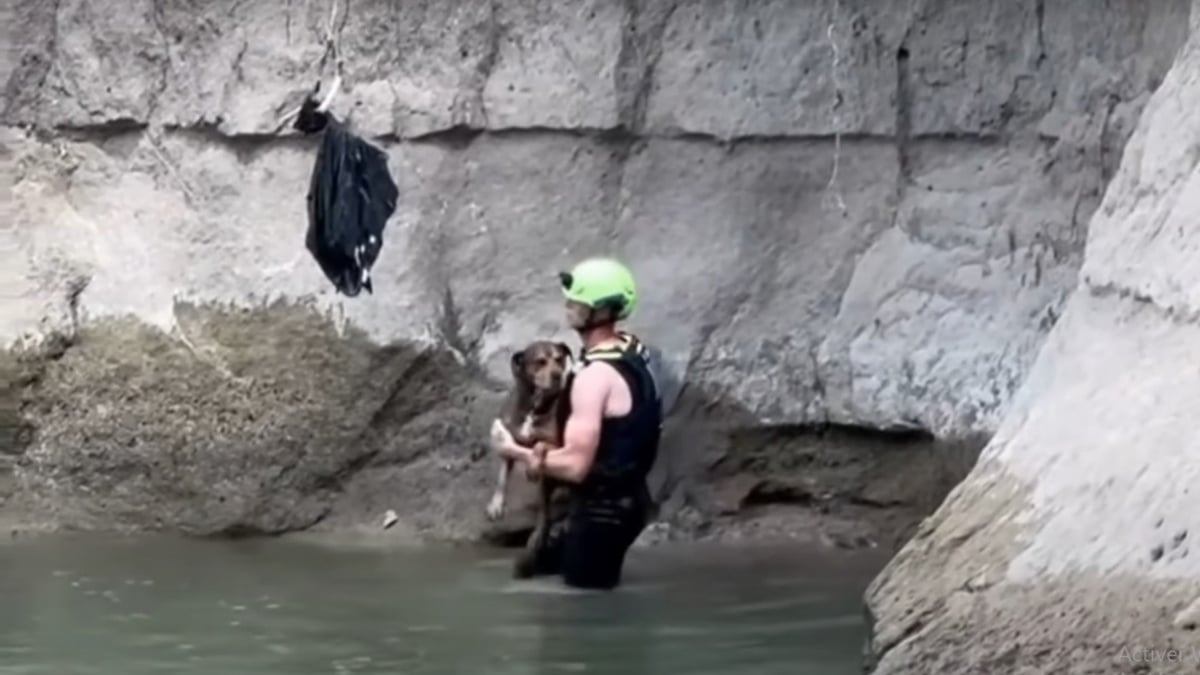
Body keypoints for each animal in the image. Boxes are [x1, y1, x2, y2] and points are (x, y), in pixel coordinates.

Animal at [489, 338, 578, 576]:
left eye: (559, 359)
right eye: (540, 362)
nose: (557, 375)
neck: (534, 405)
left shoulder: (558, 444)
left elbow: (539, 444)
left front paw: (532, 465)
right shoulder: (512, 439)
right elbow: (501, 474)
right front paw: (496, 504)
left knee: (546, 513)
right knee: (545, 511)